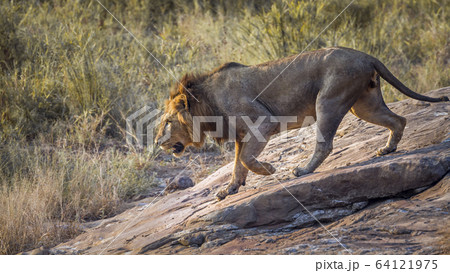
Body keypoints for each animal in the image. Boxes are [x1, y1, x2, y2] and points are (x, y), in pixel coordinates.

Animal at [154, 47, 446, 200]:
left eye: (167, 122)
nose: (156, 142)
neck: (207, 103)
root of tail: (365, 54)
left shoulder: (263, 121)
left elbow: (246, 159)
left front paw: (269, 169)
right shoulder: (240, 135)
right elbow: (238, 164)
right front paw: (229, 189)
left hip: (328, 100)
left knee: (325, 144)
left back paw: (303, 170)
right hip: (365, 104)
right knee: (399, 119)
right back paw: (387, 149)